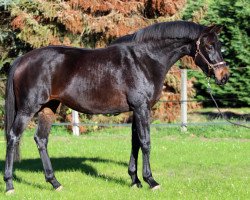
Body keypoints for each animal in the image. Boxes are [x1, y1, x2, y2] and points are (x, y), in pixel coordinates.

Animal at [3, 20, 229, 194]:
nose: (224, 76)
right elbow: (146, 142)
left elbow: (135, 142)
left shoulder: (136, 110)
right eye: (209, 46)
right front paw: (151, 181)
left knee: (41, 139)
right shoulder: (142, 108)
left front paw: (135, 181)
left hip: (48, 108)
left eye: (219, 45)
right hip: (28, 108)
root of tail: (23, 59)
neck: (144, 59)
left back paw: (55, 183)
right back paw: (10, 185)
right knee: (13, 137)